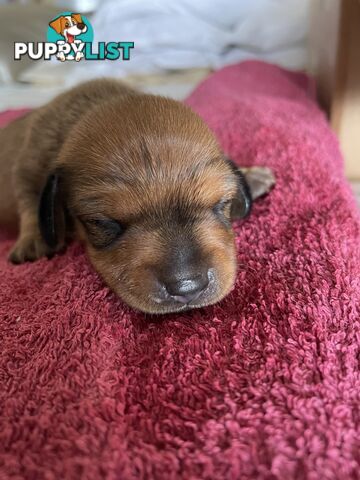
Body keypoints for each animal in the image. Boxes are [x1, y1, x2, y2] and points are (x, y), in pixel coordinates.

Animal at [0, 79, 274, 316]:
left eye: (222, 203)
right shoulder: (28, 164)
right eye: (101, 222)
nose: (187, 287)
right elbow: (29, 199)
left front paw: (250, 175)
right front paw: (34, 239)